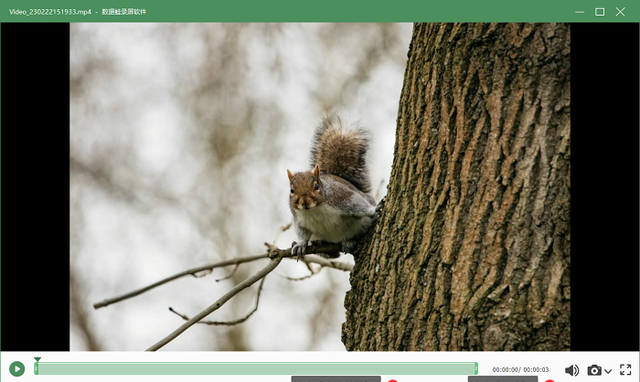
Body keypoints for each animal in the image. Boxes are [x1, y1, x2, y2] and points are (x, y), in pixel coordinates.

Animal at [284, 115, 380, 260]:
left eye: (316, 186)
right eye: (291, 190)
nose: (305, 202)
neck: (314, 210)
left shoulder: (340, 196)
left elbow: (356, 203)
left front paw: (373, 210)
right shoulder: (298, 218)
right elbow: (302, 232)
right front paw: (300, 244)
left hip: (363, 224)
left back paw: (350, 241)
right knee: (334, 255)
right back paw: (322, 246)